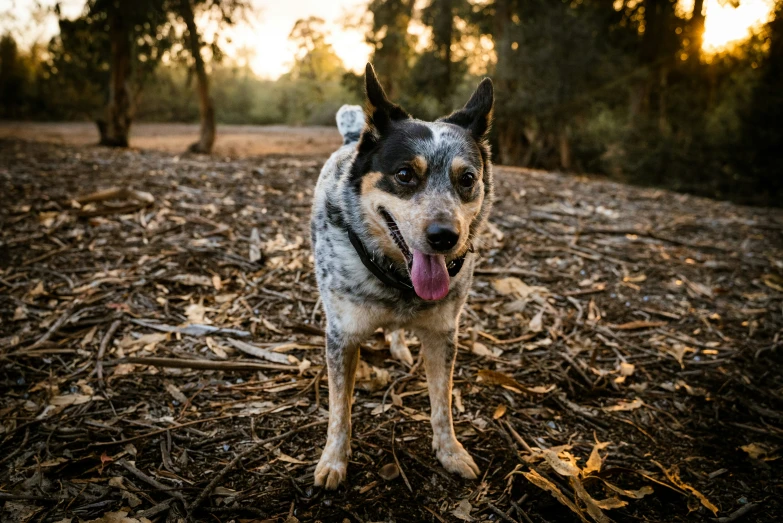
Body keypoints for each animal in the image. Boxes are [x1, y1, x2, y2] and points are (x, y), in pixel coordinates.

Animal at [310, 63, 494, 490]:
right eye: (405, 174)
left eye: (467, 179)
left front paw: (450, 452)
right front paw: (334, 461)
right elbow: (339, 411)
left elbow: (442, 403)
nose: (445, 236)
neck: (397, 281)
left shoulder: (443, 334)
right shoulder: (341, 336)